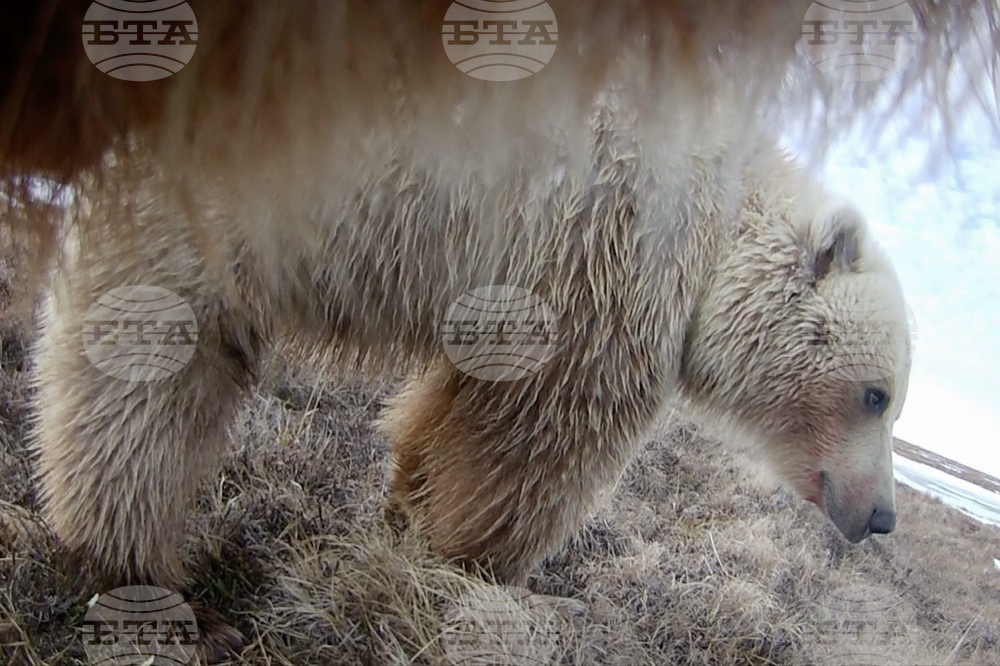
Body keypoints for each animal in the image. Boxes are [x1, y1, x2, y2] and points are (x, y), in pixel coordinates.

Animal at [32, 97, 911, 605]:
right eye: (876, 394)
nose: (883, 516)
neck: (719, 224)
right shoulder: (599, 263)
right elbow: (535, 441)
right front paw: (485, 570)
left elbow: (450, 409)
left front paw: (405, 506)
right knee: (155, 359)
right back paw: (125, 550)